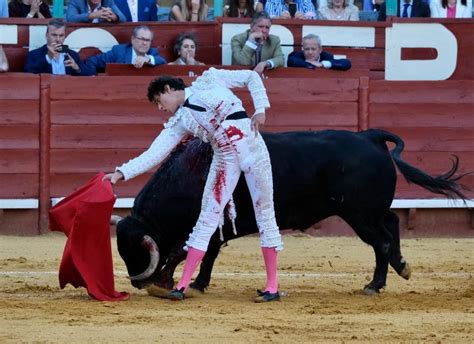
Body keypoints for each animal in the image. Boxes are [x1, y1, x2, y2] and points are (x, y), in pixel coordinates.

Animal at [115, 129, 466, 296]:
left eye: (136, 252)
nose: (137, 283)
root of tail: (370, 136)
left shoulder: (211, 223)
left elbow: (191, 251)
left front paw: (177, 282)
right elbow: (206, 254)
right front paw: (198, 284)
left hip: (359, 214)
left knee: (380, 241)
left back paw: (374, 286)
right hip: (371, 210)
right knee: (392, 224)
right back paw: (402, 266)